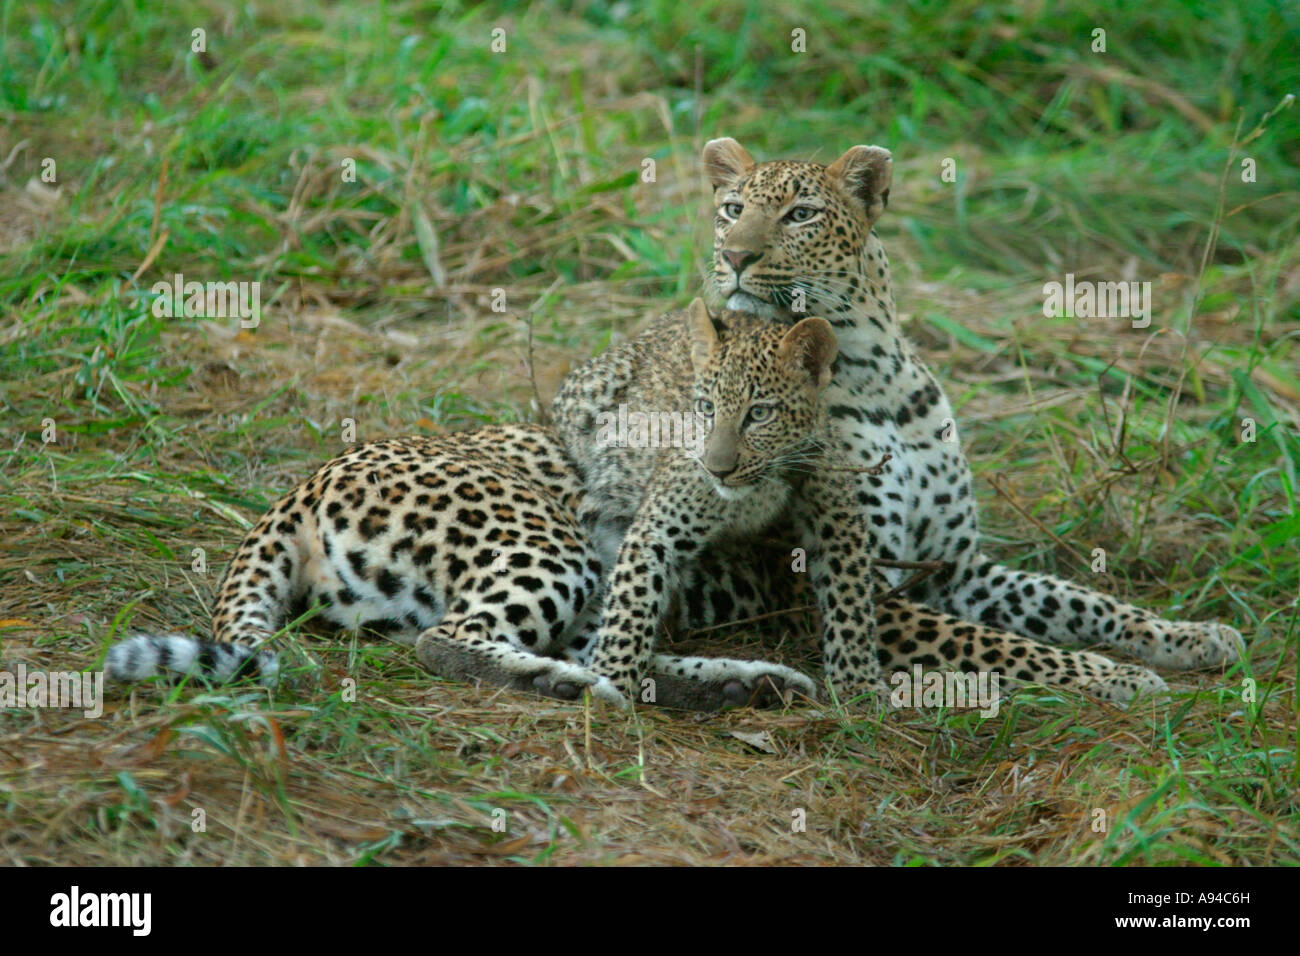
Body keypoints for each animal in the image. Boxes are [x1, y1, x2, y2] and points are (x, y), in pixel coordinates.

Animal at [550, 136, 1246, 706]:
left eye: (800, 215)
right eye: (731, 209)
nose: (735, 256)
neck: (876, 375)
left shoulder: (957, 566)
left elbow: (1078, 601)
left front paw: (1189, 636)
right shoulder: (865, 584)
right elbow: (1011, 647)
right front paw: (1117, 676)